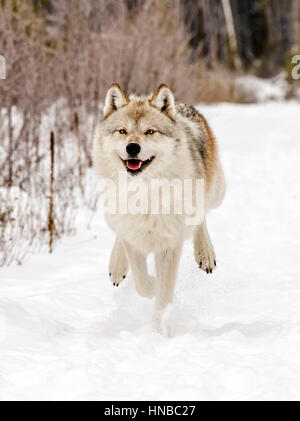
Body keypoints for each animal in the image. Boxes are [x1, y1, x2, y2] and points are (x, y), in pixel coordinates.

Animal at [92, 83, 224, 316]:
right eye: (122, 131)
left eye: (150, 131)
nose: (132, 147)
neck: (144, 193)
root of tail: (181, 106)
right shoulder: (132, 234)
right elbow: (143, 284)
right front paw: (151, 285)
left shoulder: (170, 242)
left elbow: (164, 292)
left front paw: (162, 318)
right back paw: (117, 267)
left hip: (216, 192)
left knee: (201, 216)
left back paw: (205, 254)